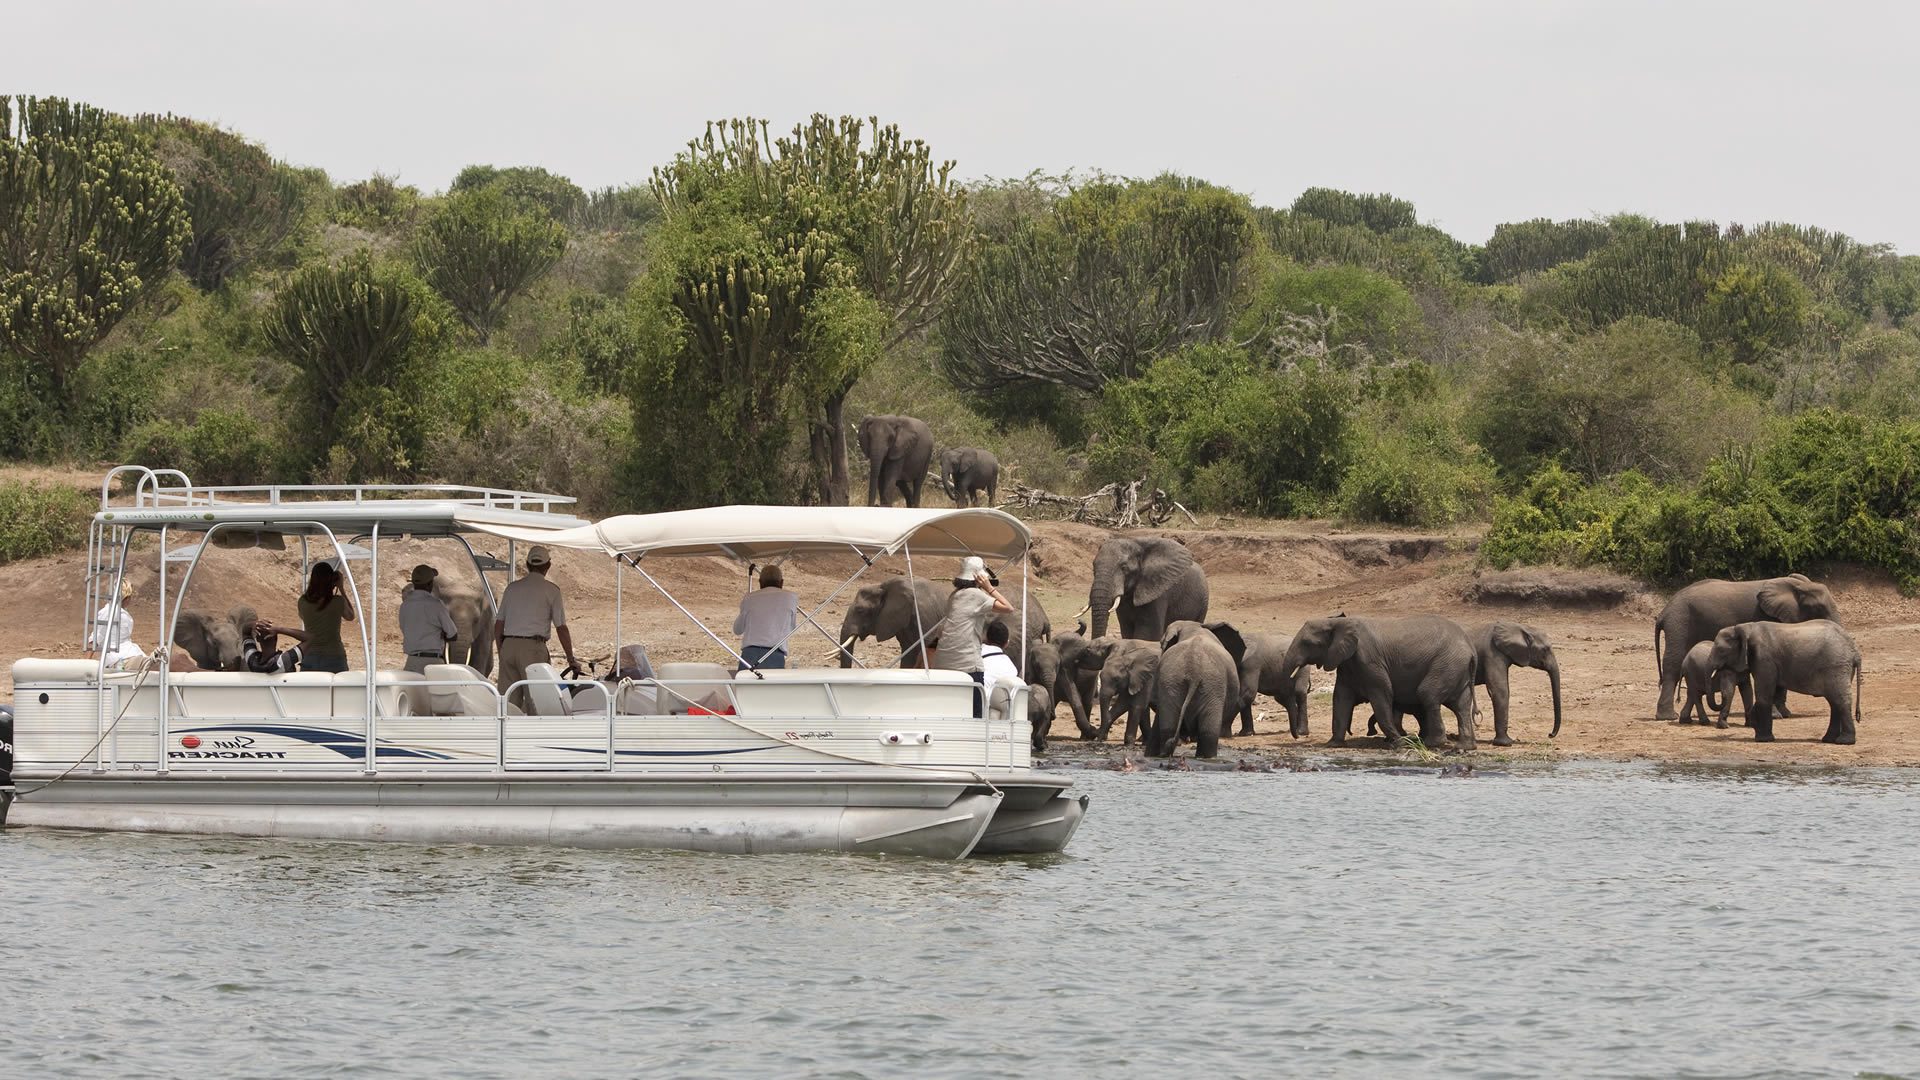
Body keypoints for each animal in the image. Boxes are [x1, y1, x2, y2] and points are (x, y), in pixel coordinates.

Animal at [1282, 614, 1474, 749]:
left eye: (1307, 643)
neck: (1337, 622)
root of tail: (1470, 647)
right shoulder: (1347, 662)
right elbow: (1341, 699)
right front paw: (1333, 744)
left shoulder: (1369, 660)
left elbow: (1382, 695)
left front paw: (1399, 743)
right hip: (1455, 667)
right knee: (1462, 705)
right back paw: (1464, 747)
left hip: (1448, 663)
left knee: (1428, 694)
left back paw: (1433, 744)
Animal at [1651, 576, 1843, 718]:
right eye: (1819, 608)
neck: (1798, 585)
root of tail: (1664, 612)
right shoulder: (1765, 617)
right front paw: (1776, 715)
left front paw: (1785, 714)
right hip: (1680, 623)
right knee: (1674, 663)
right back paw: (1668, 717)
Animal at [1712, 618, 1858, 745]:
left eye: (1720, 650)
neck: (1744, 627)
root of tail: (1855, 651)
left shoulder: (1764, 658)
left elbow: (1764, 694)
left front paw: (1763, 740)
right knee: (1834, 701)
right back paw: (1828, 740)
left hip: (1836, 666)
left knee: (1839, 699)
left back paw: (1844, 742)